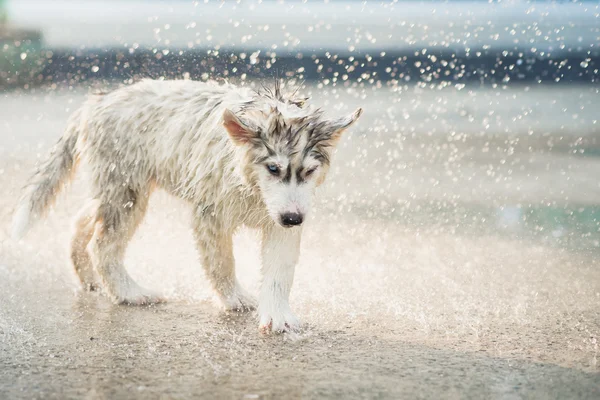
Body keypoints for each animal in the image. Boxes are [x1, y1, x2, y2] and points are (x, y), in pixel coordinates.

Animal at [12, 78, 360, 332]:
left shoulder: (282, 217)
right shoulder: (210, 214)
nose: (293, 219)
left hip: (115, 189)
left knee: (83, 219)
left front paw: (278, 315)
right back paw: (130, 293)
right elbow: (221, 263)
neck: (249, 183)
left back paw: (89, 278)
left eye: (310, 171)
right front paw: (234, 299)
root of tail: (97, 101)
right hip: (127, 192)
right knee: (104, 245)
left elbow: (279, 272)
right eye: (273, 169)